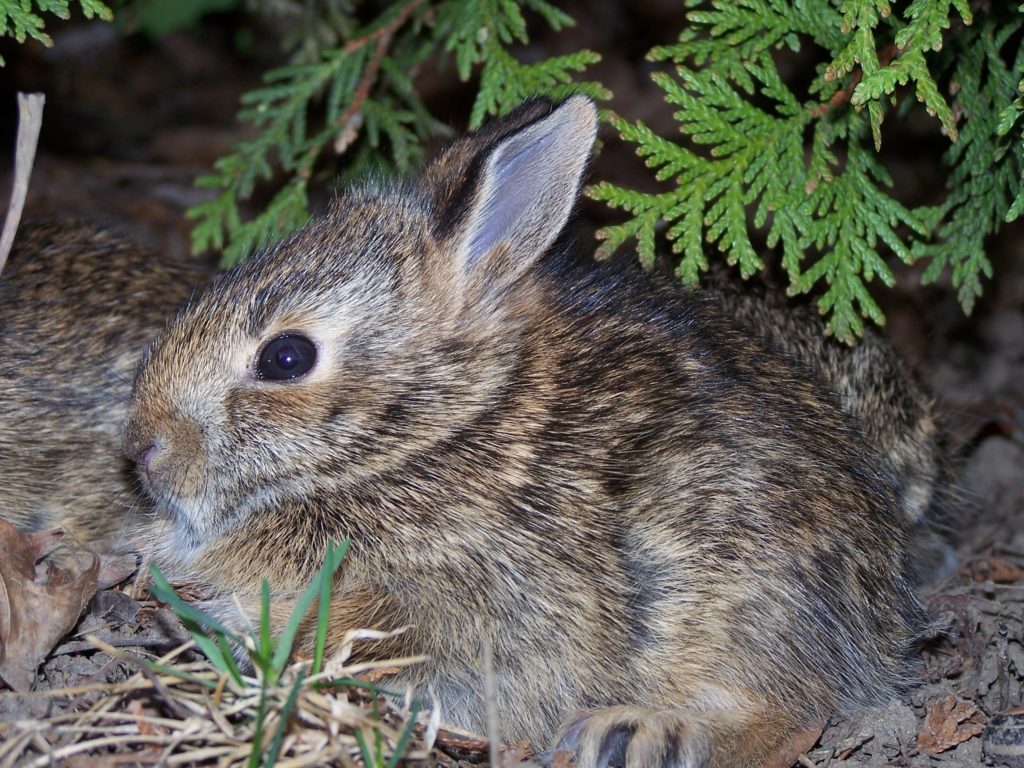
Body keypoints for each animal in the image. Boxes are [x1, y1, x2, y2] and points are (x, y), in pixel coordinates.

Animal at [117, 95, 952, 768]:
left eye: (286, 357)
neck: (429, 439)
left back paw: (638, 731)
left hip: (727, 603)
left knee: (786, 709)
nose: (146, 451)